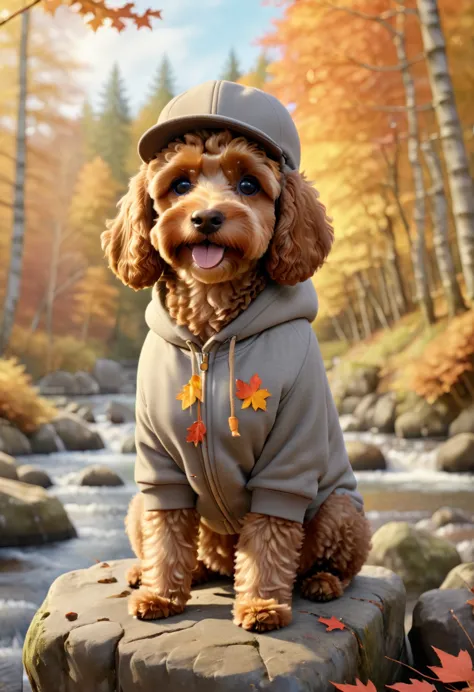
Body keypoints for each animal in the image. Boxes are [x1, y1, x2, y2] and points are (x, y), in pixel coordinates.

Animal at [103, 128, 370, 632]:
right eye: (180, 184)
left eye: (249, 185)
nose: (206, 217)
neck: (211, 339)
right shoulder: (158, 459)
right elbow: (166, 532)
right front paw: (161, 594)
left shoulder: (290, 449)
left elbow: (269, 535)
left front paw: (262, 605)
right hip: (137, 505)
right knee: (177, 545)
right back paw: (155, 571)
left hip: (343, 509)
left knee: (338, 566)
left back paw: (321, 582)